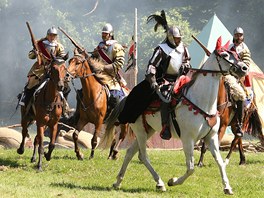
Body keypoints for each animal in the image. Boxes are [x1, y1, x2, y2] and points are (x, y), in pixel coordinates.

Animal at [102, 37, 243, 195]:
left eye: (236, 54)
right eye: (224, 55)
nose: (244, 68)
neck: (201, 100)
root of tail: (126, 98)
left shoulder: (211, 137)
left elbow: (219, 162)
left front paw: (227, 187)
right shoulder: (188, 139)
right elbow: (191, 168)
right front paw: (173, 181)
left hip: (148, 130)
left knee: (130, 153)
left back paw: (118, 181)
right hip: (140, 131)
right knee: (142, 155)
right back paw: (160, 182)